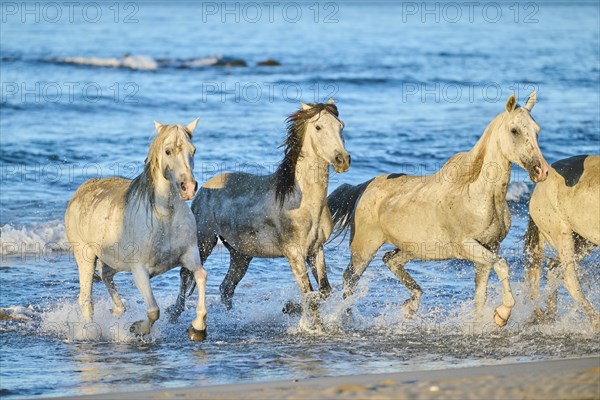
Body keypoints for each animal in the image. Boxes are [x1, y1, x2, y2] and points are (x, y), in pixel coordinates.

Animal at [65, 119, 209, 340]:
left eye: (193, 150)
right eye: (168, 151)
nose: (189, 187)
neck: (164, 216)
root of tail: (79, 192)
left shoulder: (189, 255)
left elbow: (201, 275)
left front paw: (198, 327)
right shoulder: (140, 270)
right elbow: (154, 311)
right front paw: (136, 328)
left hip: (113, 259)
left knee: (106, 275)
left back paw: (118, 310)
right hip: (85, 256)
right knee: (86, 299)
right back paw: (91, 332)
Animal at [166, 101, 350, 322]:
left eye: (341, 126)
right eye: (318, 127)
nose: (342, 160)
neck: (300, 201)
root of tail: (203, 189)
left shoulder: (316, 249)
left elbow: (324, 291)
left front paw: (292, 308)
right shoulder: (294, 254)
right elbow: (309, 294)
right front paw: (302, 316)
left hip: (241, 253)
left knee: (226, 287)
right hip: (205, 241)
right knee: (186, 276)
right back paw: (174, 314)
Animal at [328, 94, 548, 328]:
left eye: (537, 130)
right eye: (514, 130)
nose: (541, 170)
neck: (479, 194)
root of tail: (365, 187)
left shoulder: (490, 246)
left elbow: (480, 296)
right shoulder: (466, 246)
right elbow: (503, 265)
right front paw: (503, 314)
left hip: (413, 248)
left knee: (389, 260)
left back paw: (411, 305)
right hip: (364, 249)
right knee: (350, 279)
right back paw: (346, 317)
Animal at [524, 154, 600, 328]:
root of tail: (536, 189)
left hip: (583, 239)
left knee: (554, 268)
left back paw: (550, 316)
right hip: (562, 234)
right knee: (568, 276)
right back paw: (595, 321)